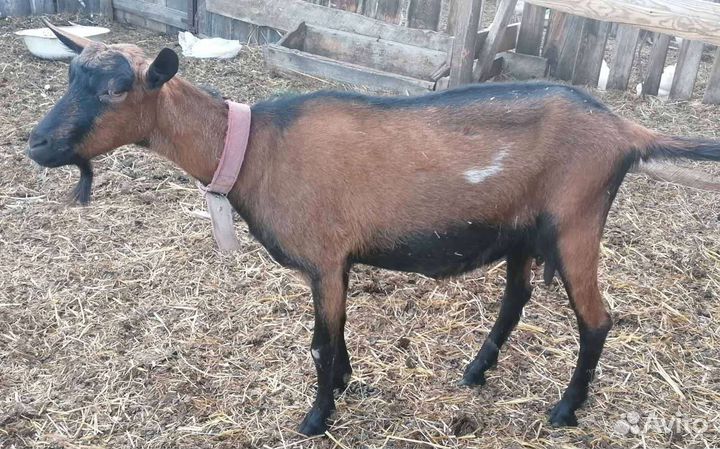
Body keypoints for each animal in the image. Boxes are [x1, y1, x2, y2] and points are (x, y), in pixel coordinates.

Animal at [26, 25, 720, 436]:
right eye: (71, 77)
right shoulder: (336, 265)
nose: (36, 144)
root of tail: (626, 131)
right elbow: (333, 337)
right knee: (516, 297)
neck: (254, 148)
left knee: (597, 320)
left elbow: (320, 342)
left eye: (118, 87)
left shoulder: (325, 257)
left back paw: (565, 409)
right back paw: (476, 371)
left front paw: (317, 416)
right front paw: (342, 386)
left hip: (577, 222)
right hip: (524, 230)